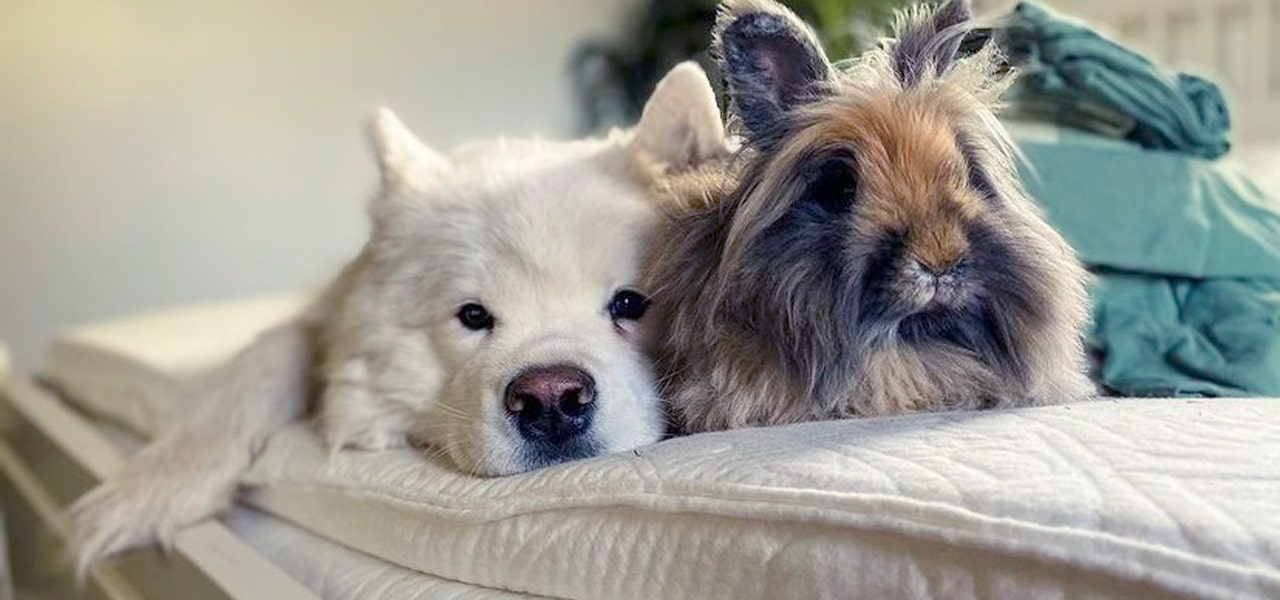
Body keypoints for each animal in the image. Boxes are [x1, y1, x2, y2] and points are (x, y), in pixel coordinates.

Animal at [70, 60, 732, 570]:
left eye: (630, 304)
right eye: (473, 315)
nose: (551, 399)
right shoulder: (318, 320)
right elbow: (258, 365)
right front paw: (152, 490)